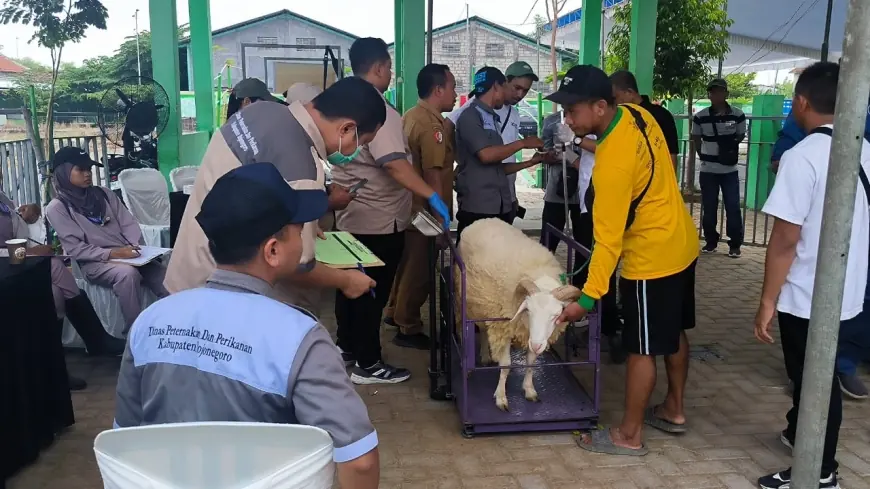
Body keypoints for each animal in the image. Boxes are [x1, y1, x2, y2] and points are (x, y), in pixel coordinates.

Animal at [456, 215, 584, 410]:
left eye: (556, 315)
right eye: (528, 311)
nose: (537, 344)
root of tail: (484, 219)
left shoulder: (532, 335)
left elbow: (531, 361)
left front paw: (529, 389)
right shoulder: (503, 327)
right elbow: (506, 365)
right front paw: (501, 397)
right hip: (471, 303)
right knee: (476, 329)